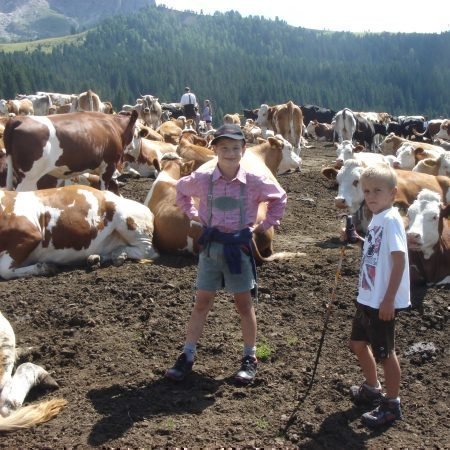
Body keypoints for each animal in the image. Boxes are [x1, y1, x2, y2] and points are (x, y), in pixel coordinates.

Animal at [0, 185, 160, 280]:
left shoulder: (31, 235)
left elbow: (4, 270)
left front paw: (44, 267)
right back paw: (98, 257)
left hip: (129, 221)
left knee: (148, 251)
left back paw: (118, 254)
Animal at [3, 112, 138, 192]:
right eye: (136, 131)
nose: (134, 148)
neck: (114, 126)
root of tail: (18, 119)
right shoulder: (109, 165)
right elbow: (104, 189)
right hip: (29, 177)